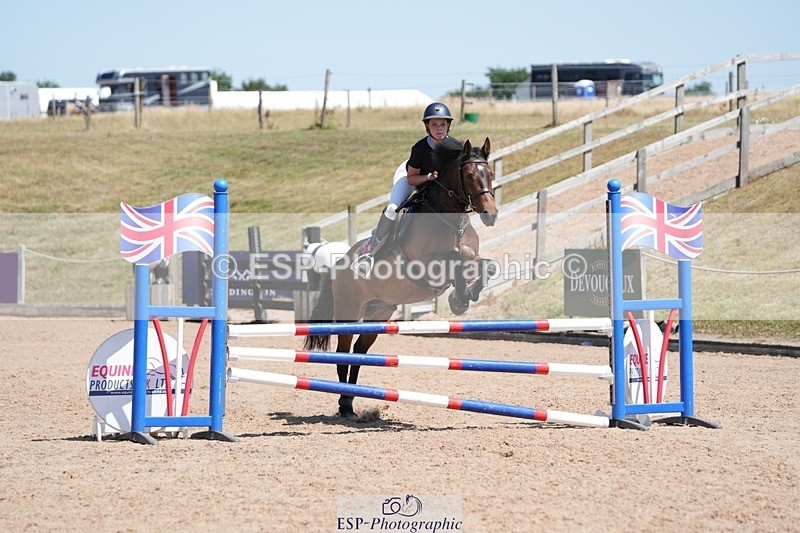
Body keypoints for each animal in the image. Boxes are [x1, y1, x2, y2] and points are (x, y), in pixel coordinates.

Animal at [304, 137, 498, 418]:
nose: (490, 214)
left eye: (491, 174)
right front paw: (460, 298)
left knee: (359, 352)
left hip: (379, 312)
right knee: (343, 353)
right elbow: (455, 261)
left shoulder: (472, 257)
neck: (453, 222)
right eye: (470, 175)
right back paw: (344, 406)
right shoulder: (428, 265)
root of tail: (339, 264)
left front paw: (463, 297)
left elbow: (488, 266)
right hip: (349, 310)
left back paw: (350, 400)